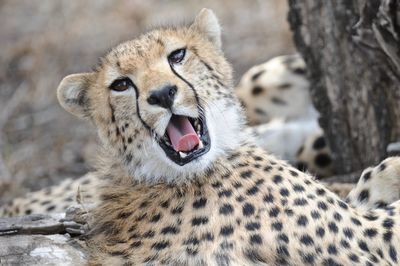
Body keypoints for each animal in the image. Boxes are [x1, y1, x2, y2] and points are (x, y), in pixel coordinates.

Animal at [0, 8, 400, 266]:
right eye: (121, 85)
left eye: (177, 55)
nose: (162, 94)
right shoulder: (367, 238)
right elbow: (381, 206)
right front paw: (390, 170)